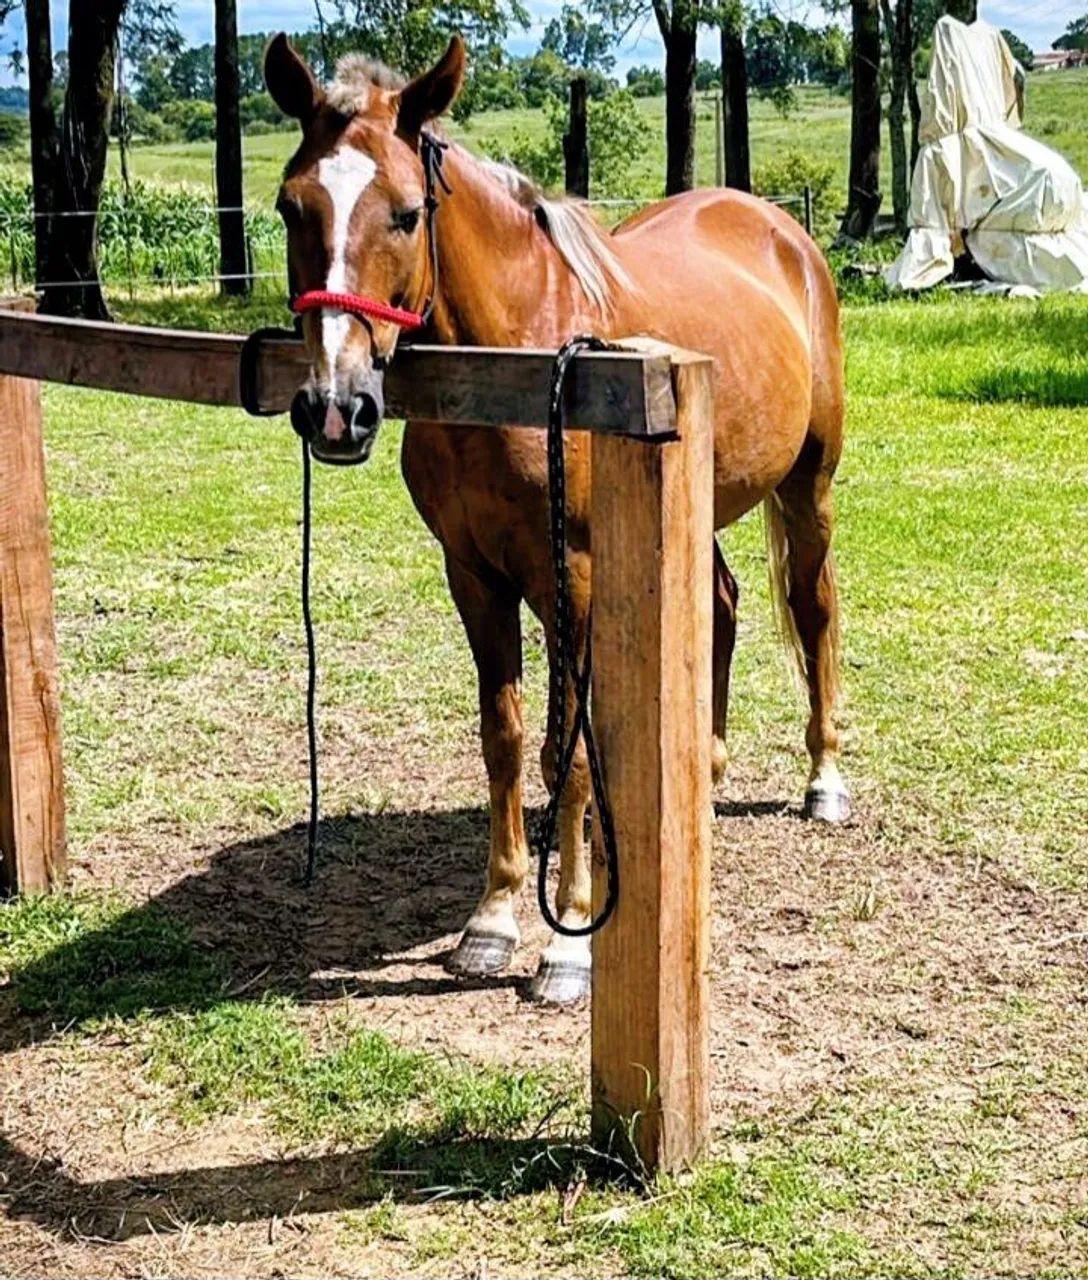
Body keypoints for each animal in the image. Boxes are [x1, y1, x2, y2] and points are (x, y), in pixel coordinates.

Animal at [264, 33, 849, 1005]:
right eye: (289, 205)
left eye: (407, 213)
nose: (336, 407)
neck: (521, 354)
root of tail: (780, 230)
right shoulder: (475, 574)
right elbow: (506, 741)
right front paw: (495, 918)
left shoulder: (571, 572)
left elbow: (568, 752)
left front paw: (570, 940)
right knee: (724, 604)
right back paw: (705, 773)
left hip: (809, 487)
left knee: (812, 611)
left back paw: (826, 779)